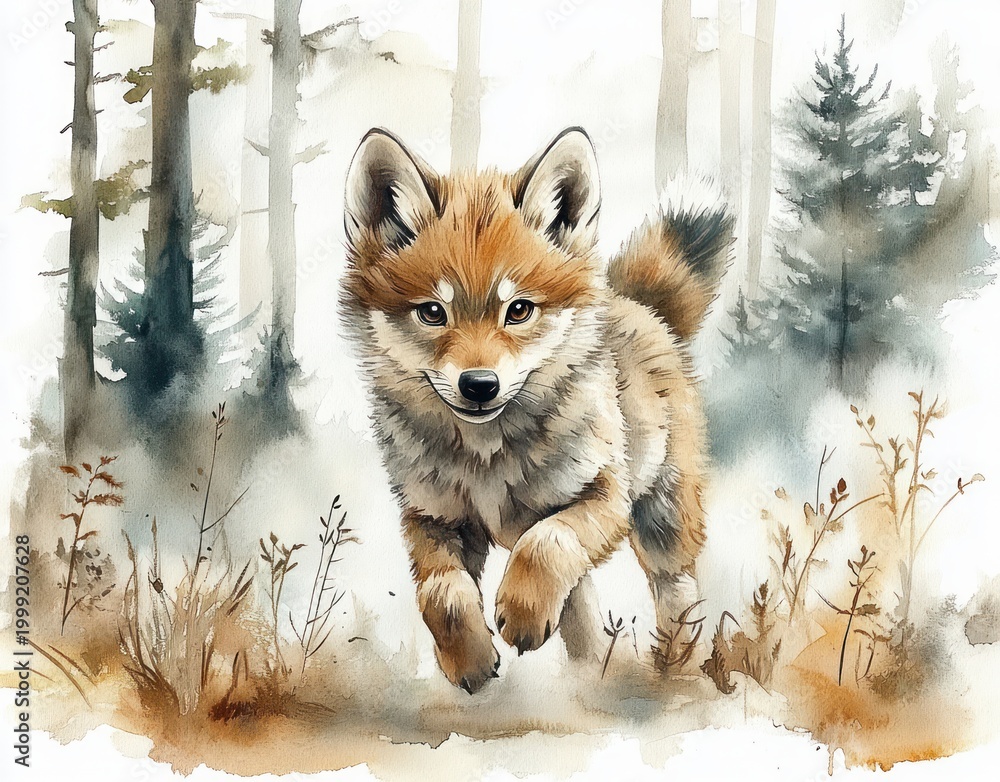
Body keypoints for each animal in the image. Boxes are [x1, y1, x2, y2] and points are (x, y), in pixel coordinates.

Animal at [340, 126, 734, 693]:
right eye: (433, 313)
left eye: (519, 309)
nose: (479, 385)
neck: (486, 460)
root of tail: (641, 308)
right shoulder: (431, 517)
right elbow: (442, 597)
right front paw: (469, 660)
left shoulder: (601, 497)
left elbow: (544, 545)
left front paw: (521, 616)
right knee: (583, 618)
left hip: (663, 519)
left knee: (676, 593)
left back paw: (676, 671)